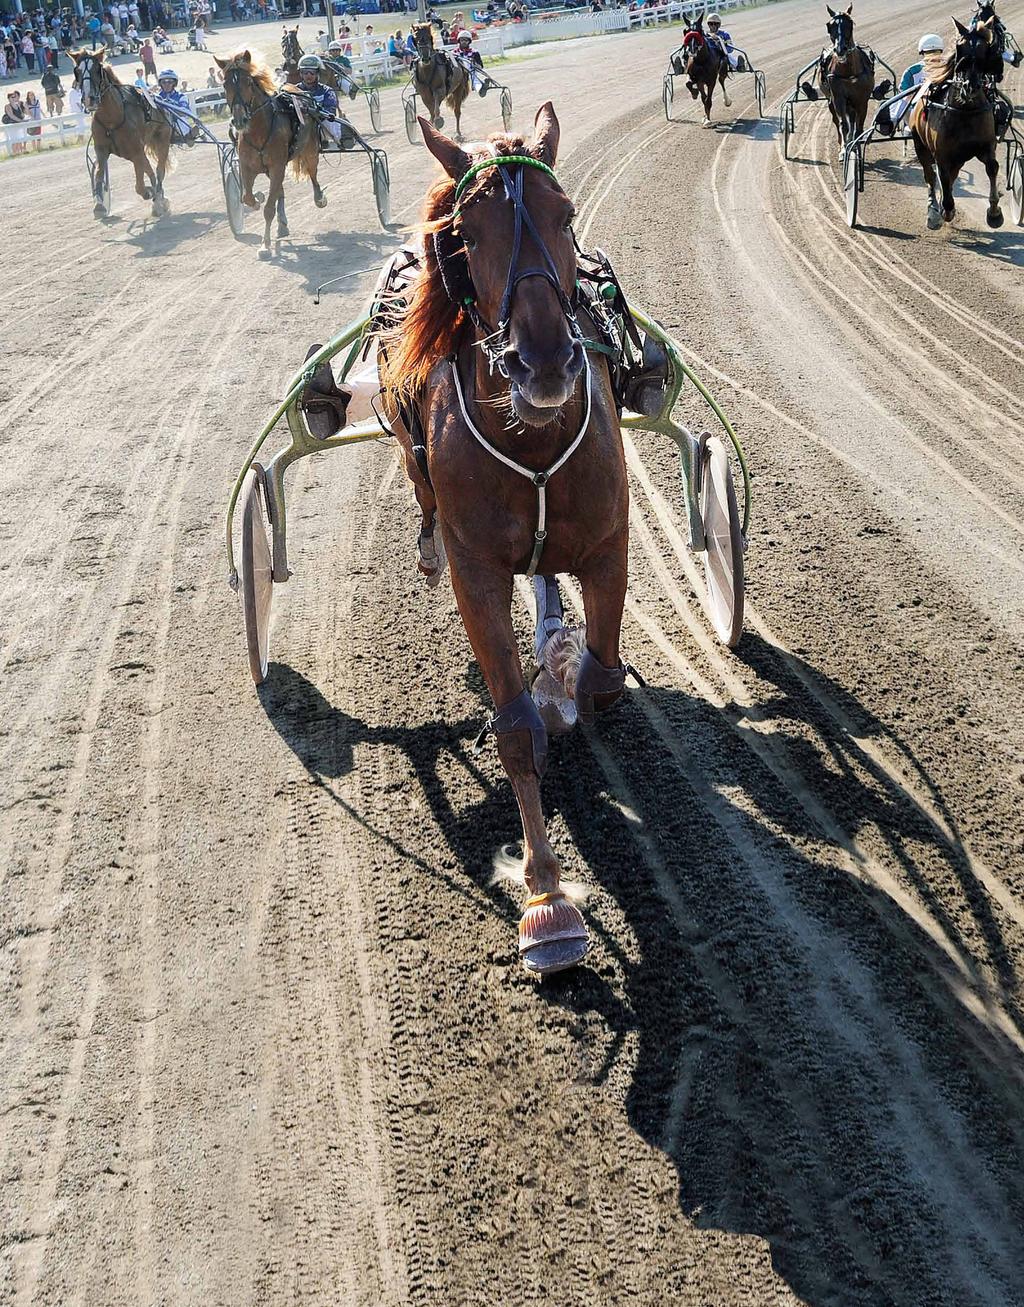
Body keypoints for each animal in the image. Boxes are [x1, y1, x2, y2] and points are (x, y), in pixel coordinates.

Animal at [69, 49, 171, 219]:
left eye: (97, 69)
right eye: (77, 71)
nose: (89, 99)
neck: (112, 118)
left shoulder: (136, 151)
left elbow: (139, 185)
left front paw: (149, 193)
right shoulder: (101, 150)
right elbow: (99, 175)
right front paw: (100, 205)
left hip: (162, 140)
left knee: (159, 171)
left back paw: (158, 201)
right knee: (150, 170)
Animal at [215, 49, 324, 257]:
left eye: (249, 83)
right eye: (225, 84)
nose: (239, 120)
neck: (259, 131)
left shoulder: (277, 167)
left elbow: (268, 210)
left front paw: (265, 246)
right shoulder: (247, 167)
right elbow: (246, 197)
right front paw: (257, 201)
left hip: (309, 150)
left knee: (312, 172)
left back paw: (319, 198)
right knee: (279, 191)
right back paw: (282, 225)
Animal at [910, 16, 1004, 230]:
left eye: (985, 49)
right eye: (960, 47)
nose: (970, 86)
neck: (965, 111)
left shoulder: (986, 146)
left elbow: (992, 167)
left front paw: (994, 212)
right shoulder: (942, 155)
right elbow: (942, 178)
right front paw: (945, 210)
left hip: (959, 159)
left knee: (951, 178)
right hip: (920, 144)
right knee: (930, 176)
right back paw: (934, 210)